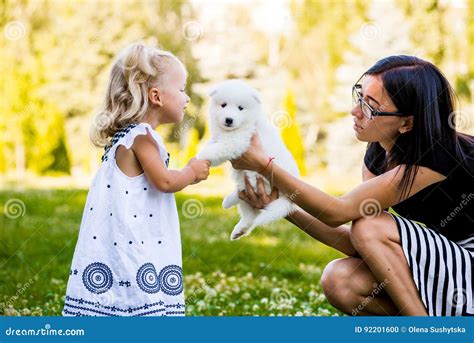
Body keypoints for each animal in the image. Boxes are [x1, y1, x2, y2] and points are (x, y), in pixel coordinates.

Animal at [196, 79, 300, 241]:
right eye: (223, 105)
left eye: (240, 108)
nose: (229, 120)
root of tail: (288, 199)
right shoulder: (218, 139)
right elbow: (214, 145)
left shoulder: (236, 142)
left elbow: (217, 149)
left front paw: (200, 156)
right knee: (250, 213)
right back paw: (237, 225)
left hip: (256, 178)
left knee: (248, 197)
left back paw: (231, 200)